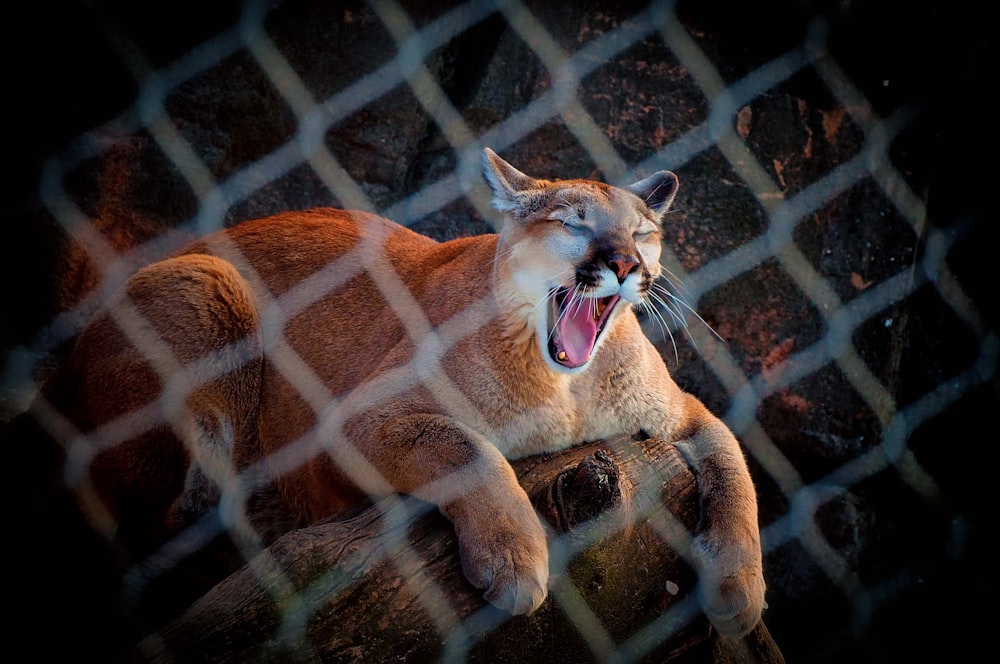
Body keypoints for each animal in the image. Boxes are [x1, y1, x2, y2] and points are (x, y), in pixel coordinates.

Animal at [37, 149, 764, 640]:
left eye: (642, 233)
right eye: (574, 225)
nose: (625, 265)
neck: (566, 384)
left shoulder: (685, 414)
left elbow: (736, 472)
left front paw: (738, 591)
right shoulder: (353, 421)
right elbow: (466, 447)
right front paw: (514, 559)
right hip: (209, 285)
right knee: (150, 523)